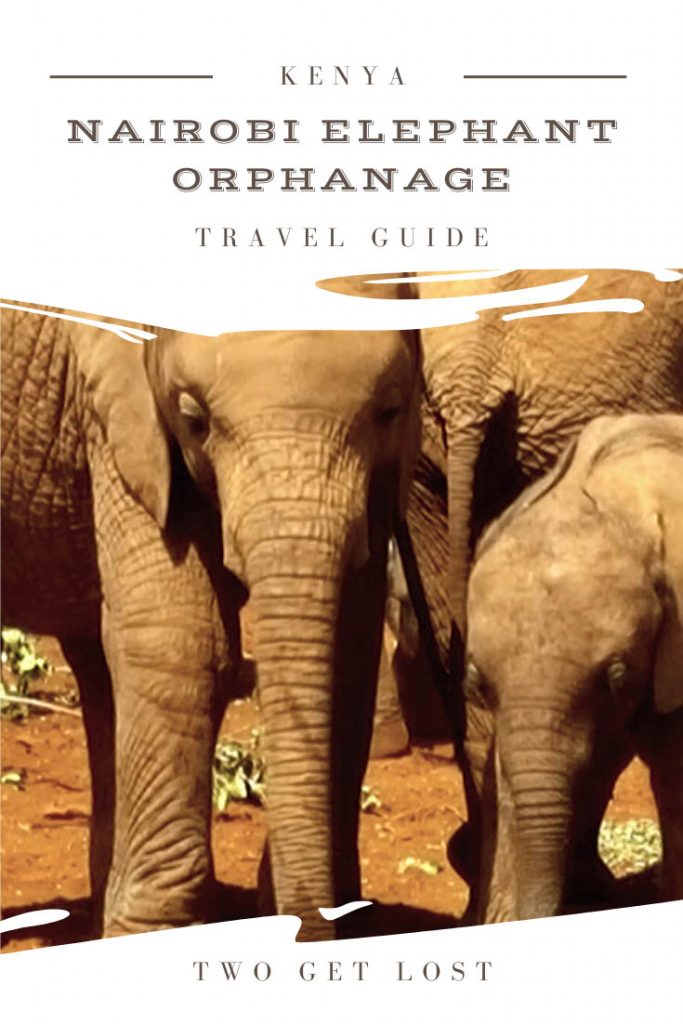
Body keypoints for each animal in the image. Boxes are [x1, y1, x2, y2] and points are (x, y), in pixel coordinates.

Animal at [1, 302, 421, 940]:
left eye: (390, 411)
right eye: (194, 419)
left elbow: (350, 644)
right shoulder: (123, 416)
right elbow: (185, 640)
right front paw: (152, 936)